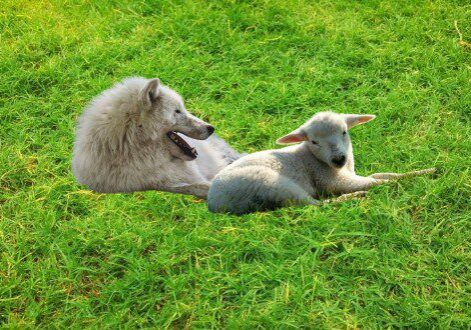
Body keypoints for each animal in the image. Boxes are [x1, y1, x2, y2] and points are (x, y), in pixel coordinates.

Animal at [208, 111, 436, 214]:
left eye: (344, 132)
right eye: (314, 141)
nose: (338, 158)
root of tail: (212, 204)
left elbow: (384, 175)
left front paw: (425, 170)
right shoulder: (331, 180)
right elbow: (378, 182)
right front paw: (420, 177)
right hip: (272, 184)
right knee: (315, 205)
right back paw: (354, 197)